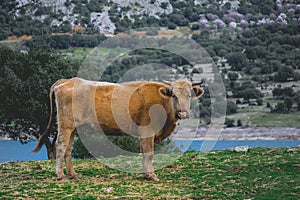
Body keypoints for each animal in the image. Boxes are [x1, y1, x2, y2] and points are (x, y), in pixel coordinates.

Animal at [33, 77, 204, 181]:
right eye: (174, 95)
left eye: (189, 96)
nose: (183, 113)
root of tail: (68, 81)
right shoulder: (147, 131)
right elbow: (149, 153)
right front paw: (151, 175)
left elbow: (144, 153)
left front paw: (145, 174)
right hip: (66, 125)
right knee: (61, 146)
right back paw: (60, 175)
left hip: (74, 127)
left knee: (68, 148)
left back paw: (73, 174)